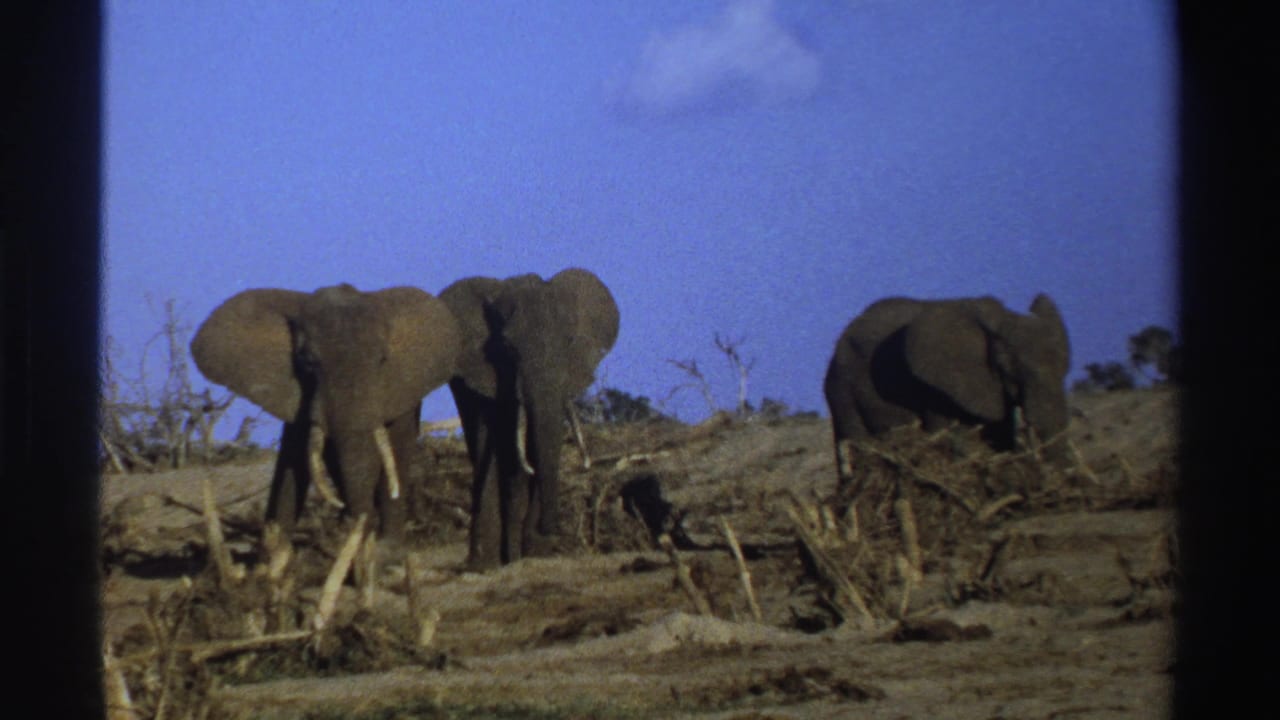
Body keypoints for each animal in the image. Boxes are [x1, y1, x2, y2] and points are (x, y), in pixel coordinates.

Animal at [440, 268, 619, 570]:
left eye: (569, 342)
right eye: (509, 348)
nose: (552, 528)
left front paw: (536, 552)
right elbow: (497, 445)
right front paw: (495, 561)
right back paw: (484, 563)